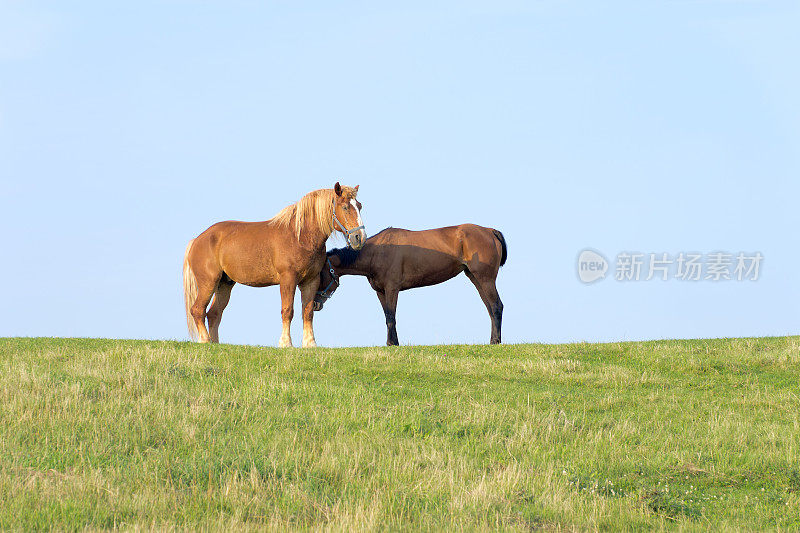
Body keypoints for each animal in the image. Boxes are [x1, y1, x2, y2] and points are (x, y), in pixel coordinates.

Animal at [182, 183, 366, 348]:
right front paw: (286, 343)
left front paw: (310, 343)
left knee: (214, 313)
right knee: (198, 310)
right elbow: (287, 310)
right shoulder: (288, 279)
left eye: (360, 206)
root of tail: (198, 239)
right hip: (208, 282)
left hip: (224, 284)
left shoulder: (310, 281)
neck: (300, 236)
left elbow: (307, 312)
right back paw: (205, 341)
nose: (360, 237)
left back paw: (215, 343)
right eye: (345, 207)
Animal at [314, 223, 506, 344]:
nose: (315, 304)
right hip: (476, 278)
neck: (377, 252)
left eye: (320, 274)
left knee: (496, 306)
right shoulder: (380, 291)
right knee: (490, 308)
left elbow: (391, 317)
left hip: (485, 278)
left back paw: (496, 341)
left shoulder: (392, 288)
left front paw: (393, 343)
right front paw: (391, 342)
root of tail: (490, 231)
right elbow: (387, 316)